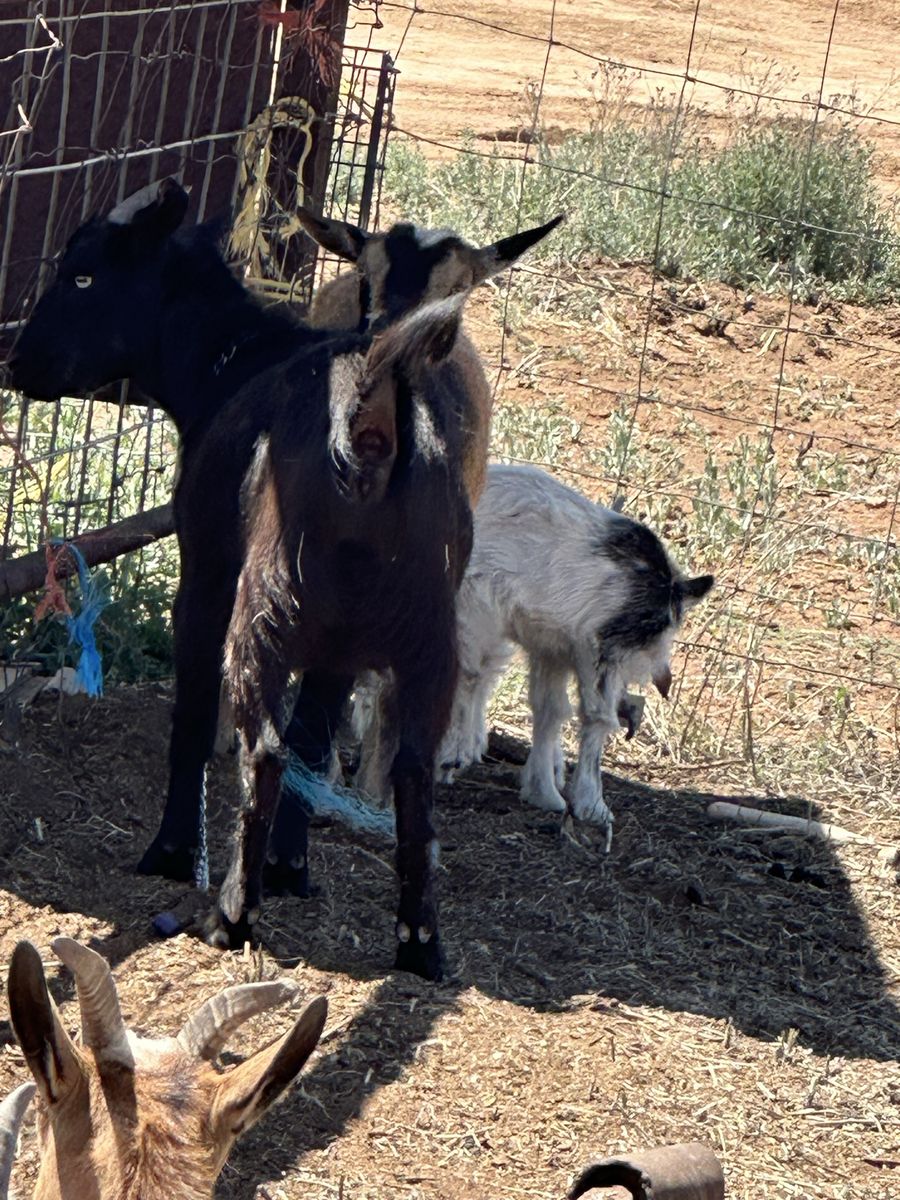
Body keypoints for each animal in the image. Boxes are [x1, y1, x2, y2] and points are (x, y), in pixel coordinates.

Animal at [10, 179, 508, 978]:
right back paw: (420, 944)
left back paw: (232, 916)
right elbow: (314, 735)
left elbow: (196, 714)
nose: (19, 365)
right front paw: (290, 865)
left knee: (264, 749)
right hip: (427, 628)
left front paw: (175, 853)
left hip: (267, 604)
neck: (233, 361)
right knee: (411, 773)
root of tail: (369, 432)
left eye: (82, 275)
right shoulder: (339, 644)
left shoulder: (207, 572)